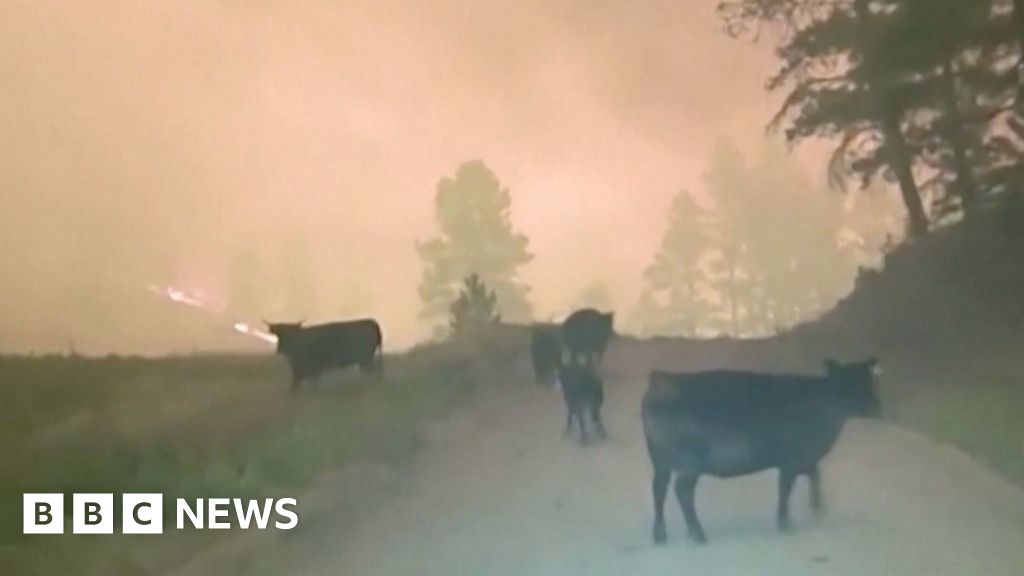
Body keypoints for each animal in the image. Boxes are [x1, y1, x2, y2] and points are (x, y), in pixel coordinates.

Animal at [638, 358, 880, 541]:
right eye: (848, 382)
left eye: (868, 380)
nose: (877, 407)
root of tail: (660, 379)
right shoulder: (790, 461)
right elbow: (785, 491)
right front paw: (785, 525)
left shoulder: (806, 458)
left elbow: (815, 476)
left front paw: (818, 510)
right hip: (689, 462)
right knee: (682, 490)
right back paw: (698, 535)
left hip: (659, 461)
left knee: (659, 488)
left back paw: (660, 535)